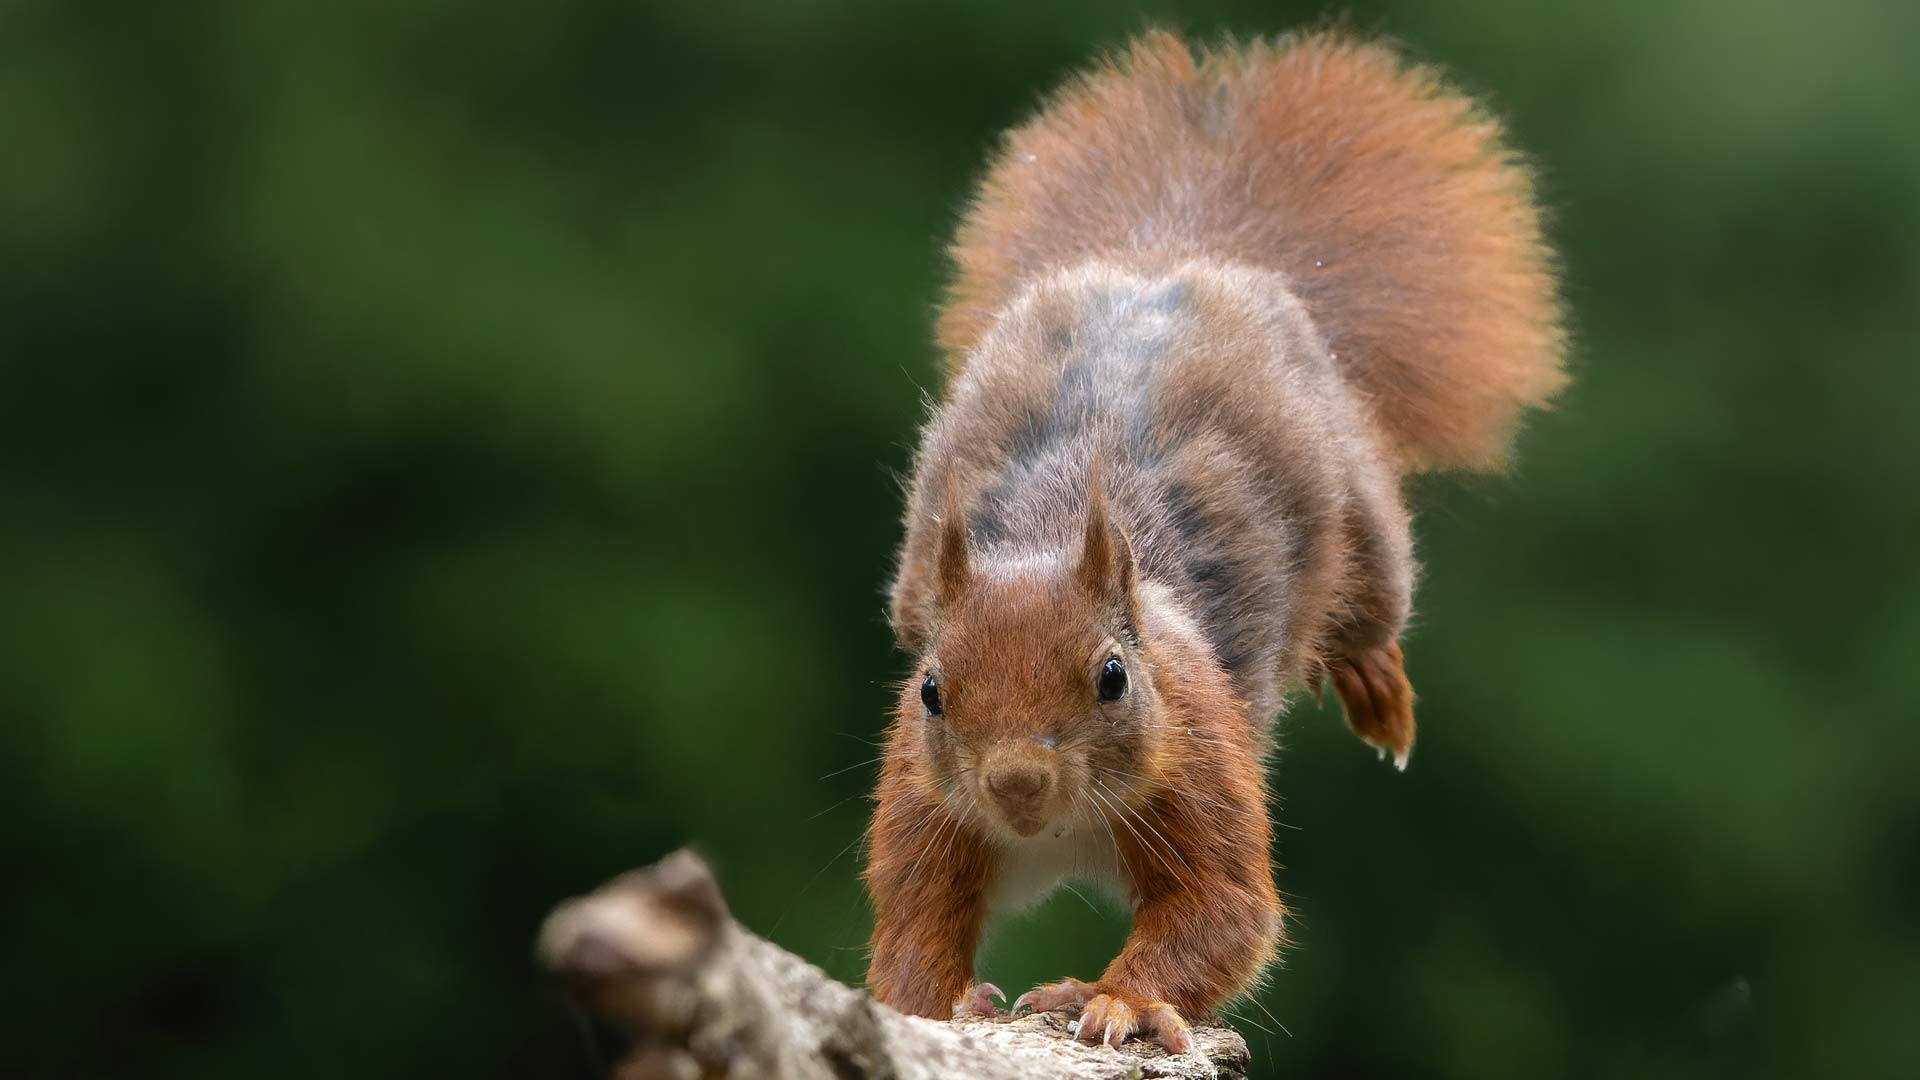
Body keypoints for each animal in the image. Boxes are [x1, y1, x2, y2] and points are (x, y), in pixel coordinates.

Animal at [864, 29, 1566, 1045]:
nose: (1016, 784)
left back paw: (1375, 682)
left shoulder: (1198, 751)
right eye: (929, 690)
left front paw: (1112, 999)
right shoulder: (925, 800)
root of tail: (1184, 255)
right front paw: (941, 1003)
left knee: (1371, 601)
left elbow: (1224, 913)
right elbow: (911, 925)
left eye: (1114, 677)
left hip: (1364, 519)